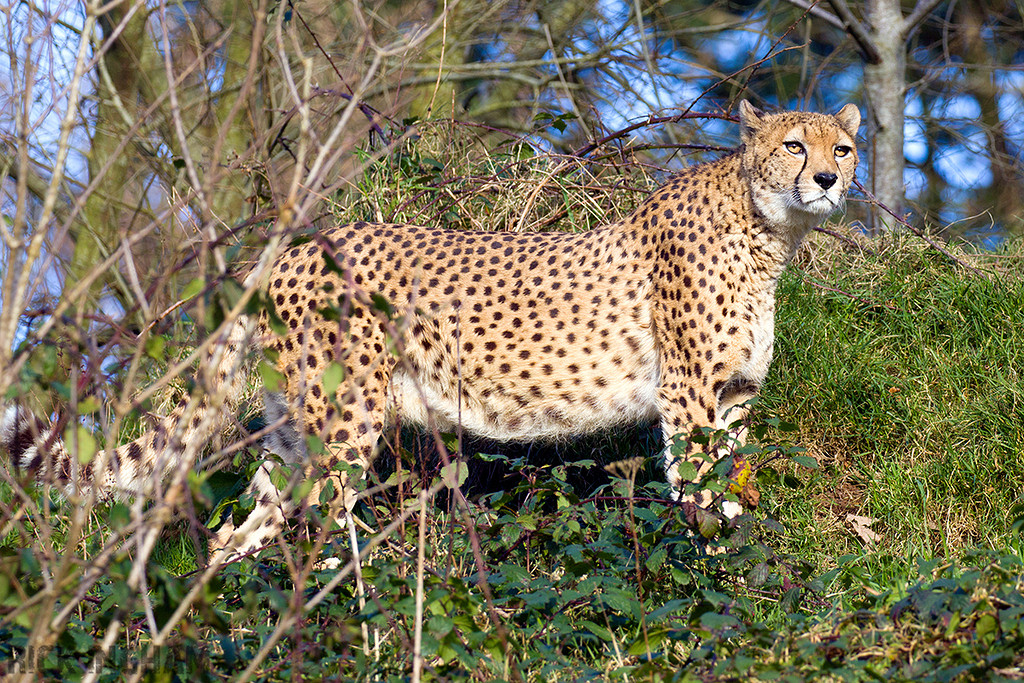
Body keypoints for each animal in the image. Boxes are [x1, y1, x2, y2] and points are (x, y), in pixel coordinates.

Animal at [4, 100, 860, 561]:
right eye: (794, 144)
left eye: (843, 147)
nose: (828, 178)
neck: (767, 229)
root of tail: (295, 245)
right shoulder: (689, 394)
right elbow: (700, 487)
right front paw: (712, 566)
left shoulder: (736, 393)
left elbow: (734, 484)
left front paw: (740, 556)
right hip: (345, 416)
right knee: (320, 519)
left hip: (294, 422)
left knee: (246, 526)